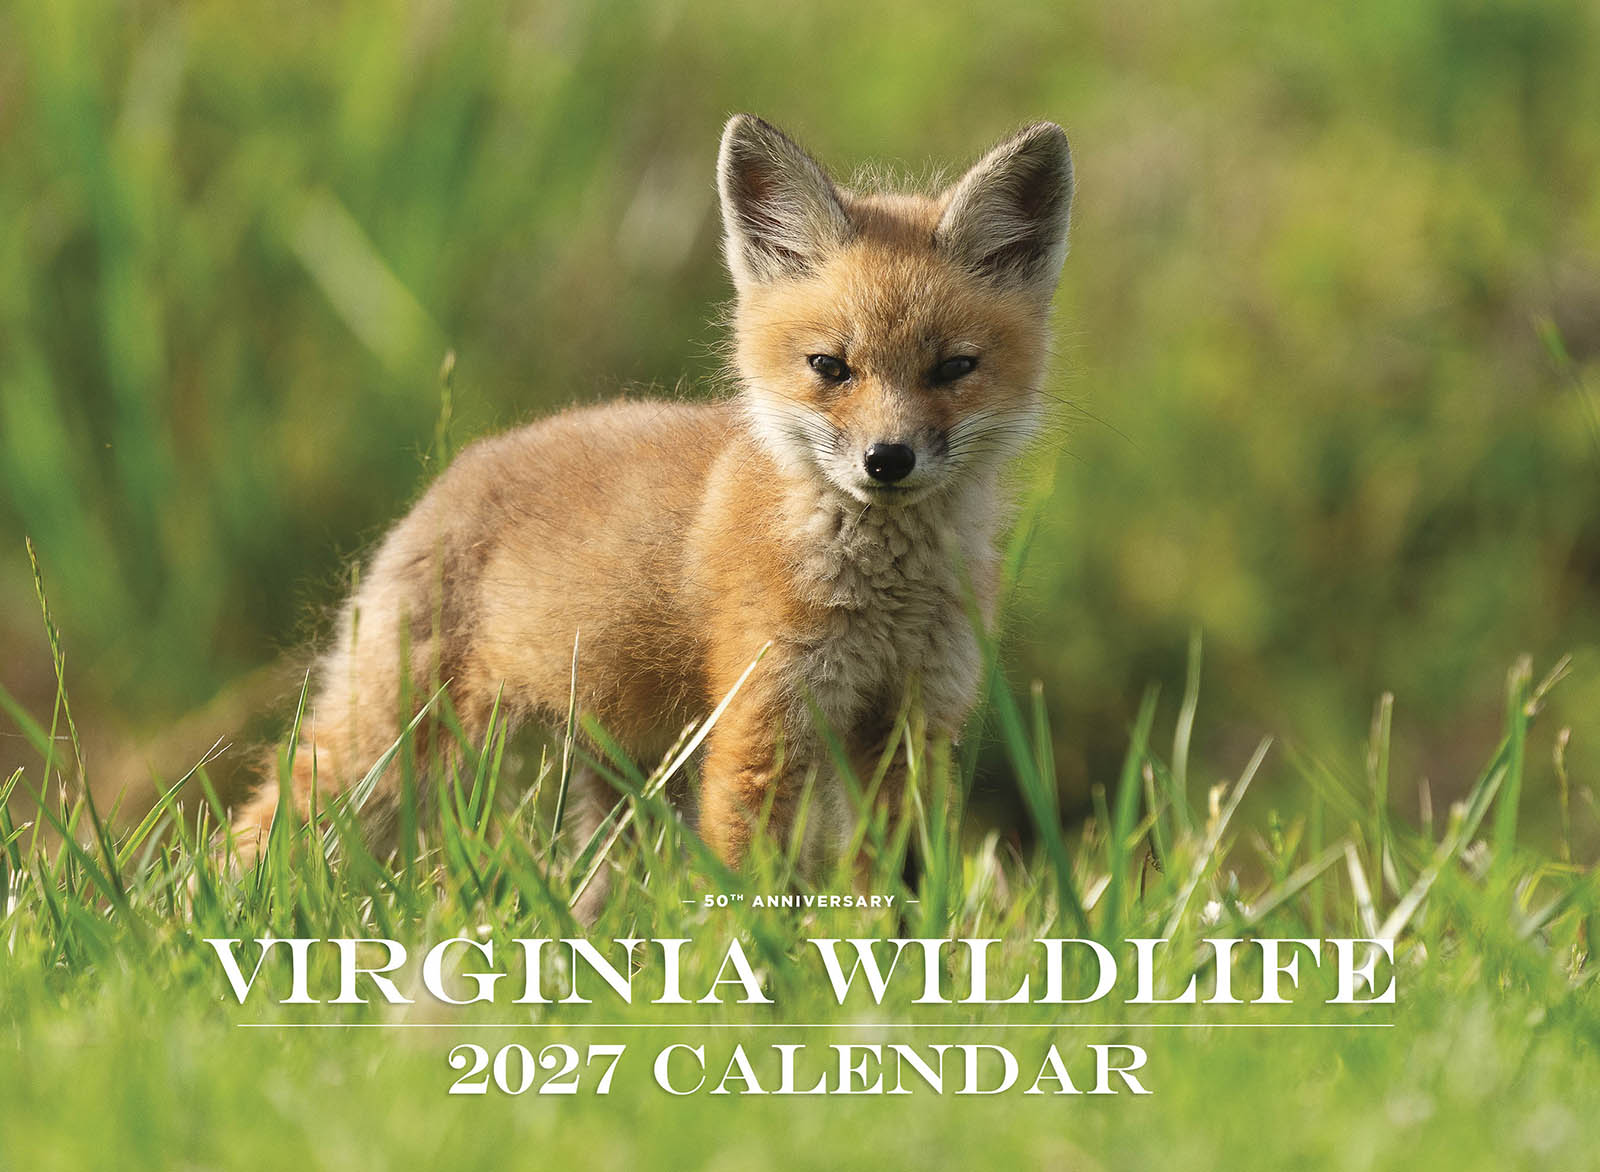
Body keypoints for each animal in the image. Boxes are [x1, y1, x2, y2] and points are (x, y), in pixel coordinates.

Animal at [227, 114, 1074, 900]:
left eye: (954, 368)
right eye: (831, 367)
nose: (887, 460)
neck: (885, 598)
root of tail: (462, 462)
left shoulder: (913, 724)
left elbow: (899, 890)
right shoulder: (761, 720)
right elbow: (749, 888)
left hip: (618, 780)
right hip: (389, 743)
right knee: (268, 820)